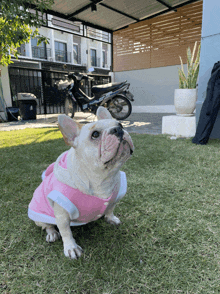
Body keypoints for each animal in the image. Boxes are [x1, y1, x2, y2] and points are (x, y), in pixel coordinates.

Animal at [27, 107, 134, 258]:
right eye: (95, 134)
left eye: (120, 124)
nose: (118, 129)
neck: (102, 177)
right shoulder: (62, 213)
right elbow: (65, 230)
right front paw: (71, 247)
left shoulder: (114, 197)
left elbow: (110, 208)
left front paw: (111, 218)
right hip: (39, 215)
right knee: (47, 225)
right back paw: (52, 233)